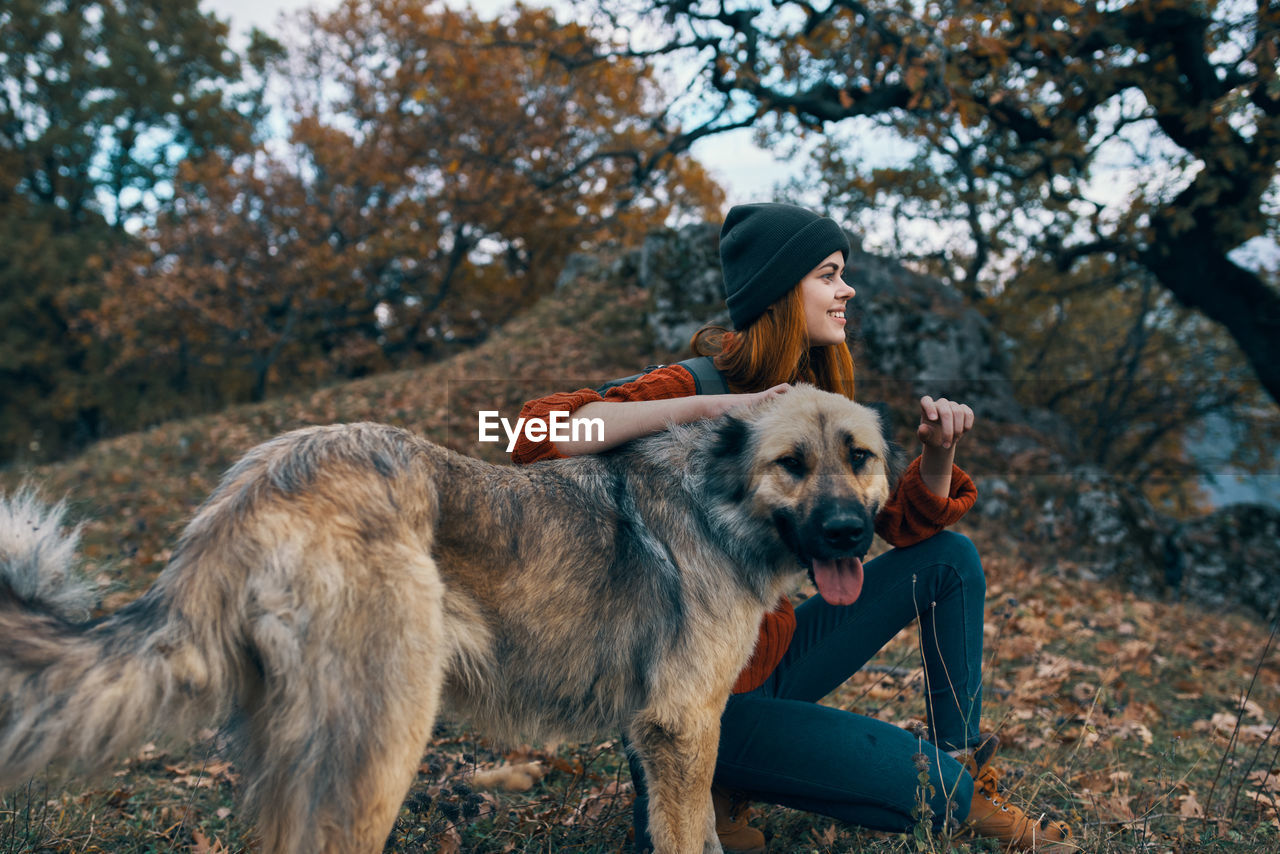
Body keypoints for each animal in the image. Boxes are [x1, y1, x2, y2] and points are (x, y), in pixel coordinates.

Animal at [0, 386, 901, 854]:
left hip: (300, 758)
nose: (850, 534)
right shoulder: (679, 727)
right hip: (383, 745)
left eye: (859, 458)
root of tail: (257, 481)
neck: (718, 505)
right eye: (791, 464)